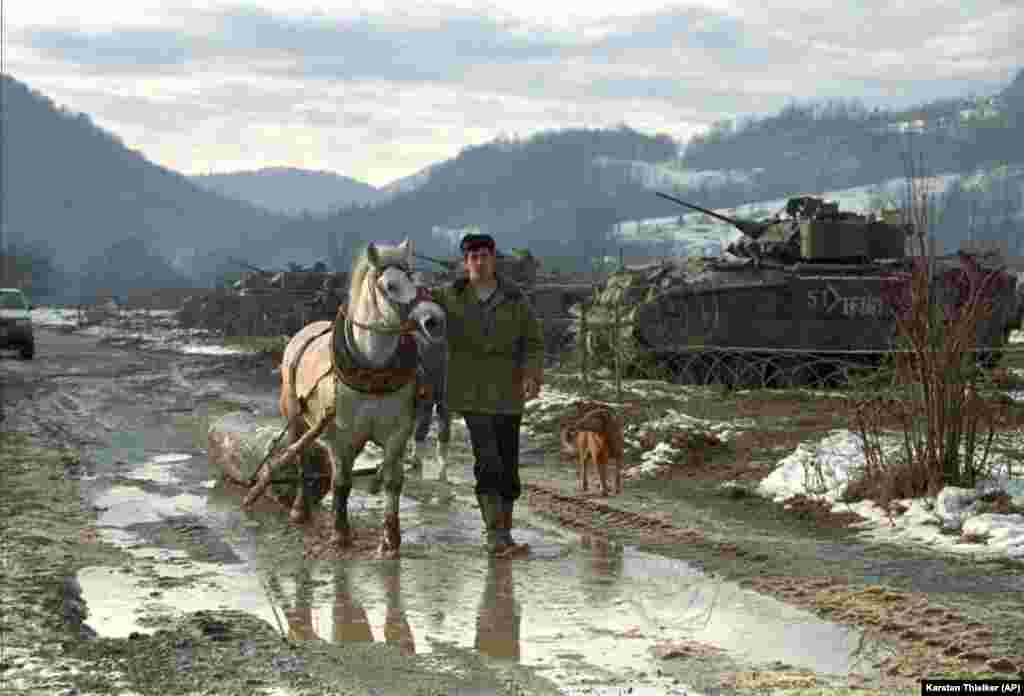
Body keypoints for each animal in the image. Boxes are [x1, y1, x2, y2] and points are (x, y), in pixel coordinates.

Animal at [246, 240, 444, 560]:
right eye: (391, 285)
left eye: (417, 279)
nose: (434, 320)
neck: (373, 371)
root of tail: (304, 331)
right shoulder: (341, 436)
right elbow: (341, 483)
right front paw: (340, 534)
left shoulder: (397, 432)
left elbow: (393, 481)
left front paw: (390, 541)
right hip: (295, 418)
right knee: (301, 457)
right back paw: (300, 509)